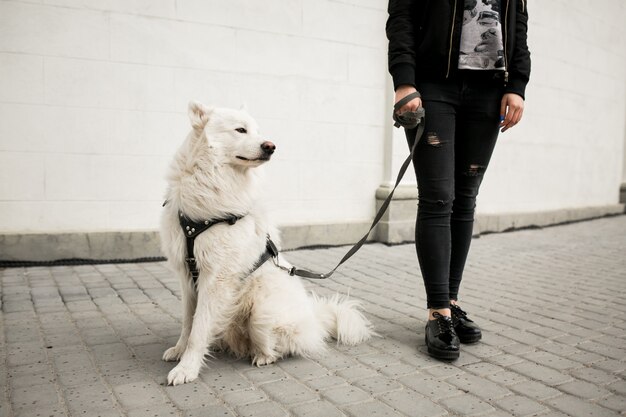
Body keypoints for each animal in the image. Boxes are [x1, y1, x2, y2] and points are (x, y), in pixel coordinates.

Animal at [160, 102, 370, 386]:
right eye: (241, 130)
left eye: (258, 131)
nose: (270, 146)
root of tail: (314, 318)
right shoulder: (187, 275)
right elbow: (187, 322)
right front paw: (179, 351)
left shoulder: (216, 279)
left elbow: (199, 328)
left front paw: (187, 368)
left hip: (262, 311)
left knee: (278, 346)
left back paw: (262, 356)